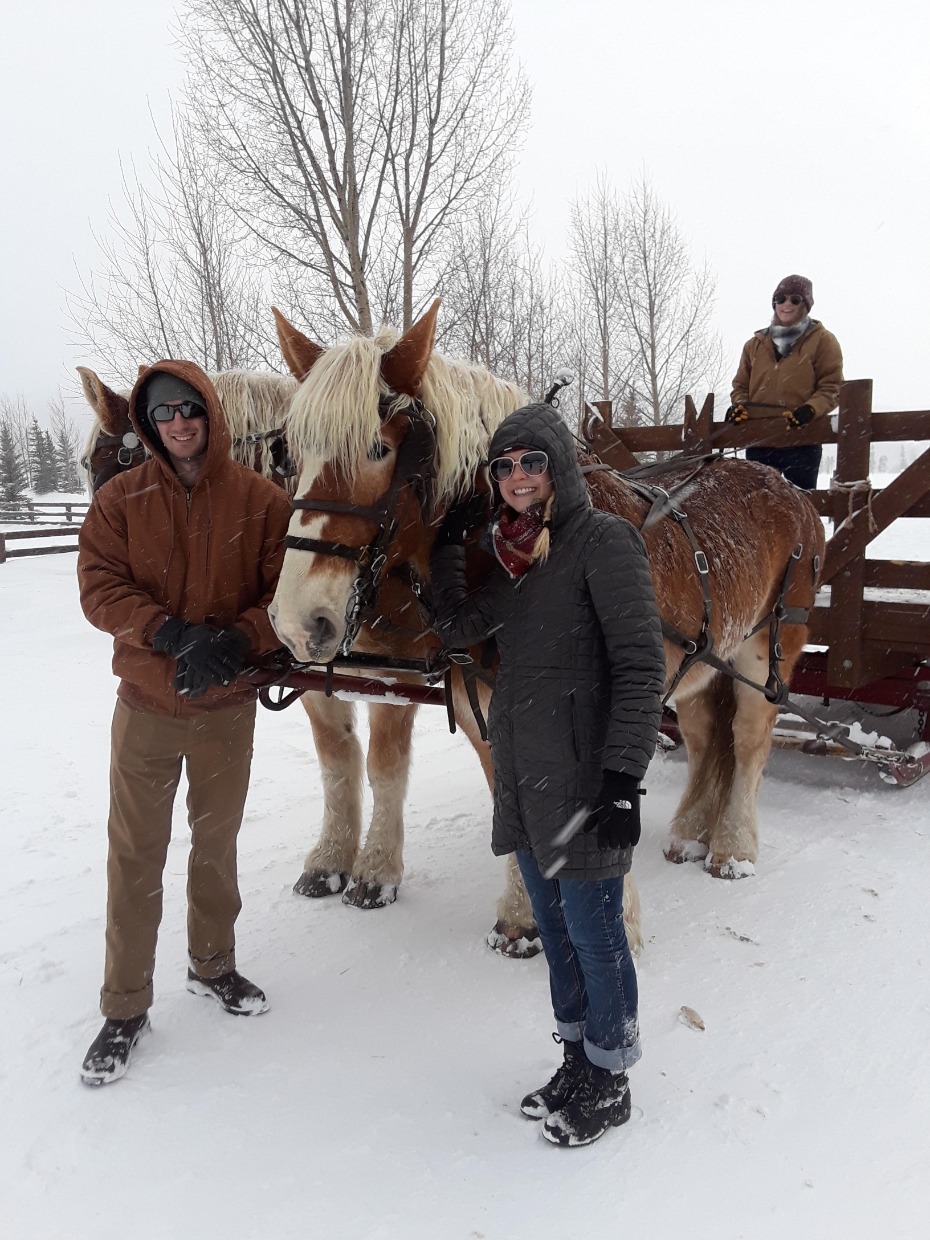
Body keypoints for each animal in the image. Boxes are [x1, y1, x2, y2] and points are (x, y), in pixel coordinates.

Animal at [271, 305, 828, 942]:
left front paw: (598, 911)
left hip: (767, 647)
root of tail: (790, 490)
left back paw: (733, 847)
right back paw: (691, 833)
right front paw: (525, 913)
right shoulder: (482, 707)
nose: (299, 621)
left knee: (750, 737)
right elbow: (506, 789)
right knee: (707, 733)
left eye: (377, 448)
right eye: (287, 454)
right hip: (701, 660)